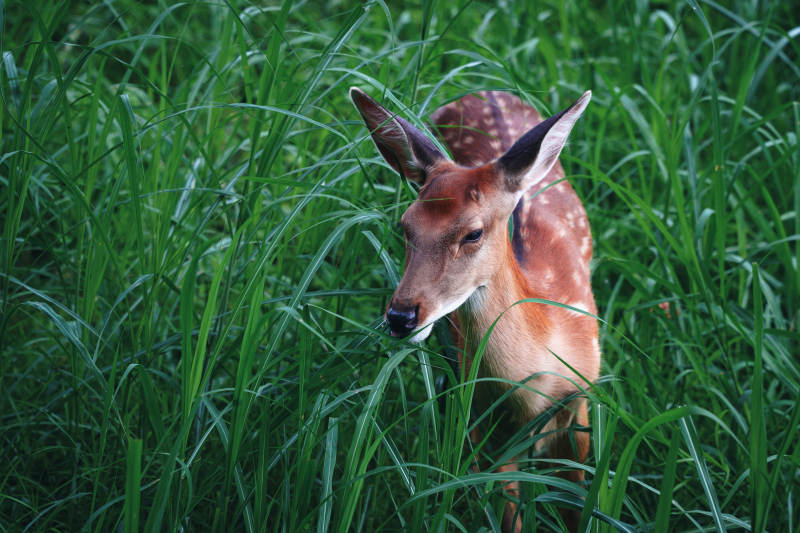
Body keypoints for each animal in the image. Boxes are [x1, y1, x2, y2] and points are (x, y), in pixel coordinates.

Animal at [350, 87, 600, 532]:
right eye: (405, 226)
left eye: (473, 233)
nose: (400, 317)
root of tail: (486, 91)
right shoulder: (486, 421)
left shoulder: (581, 400)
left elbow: (578, 507)